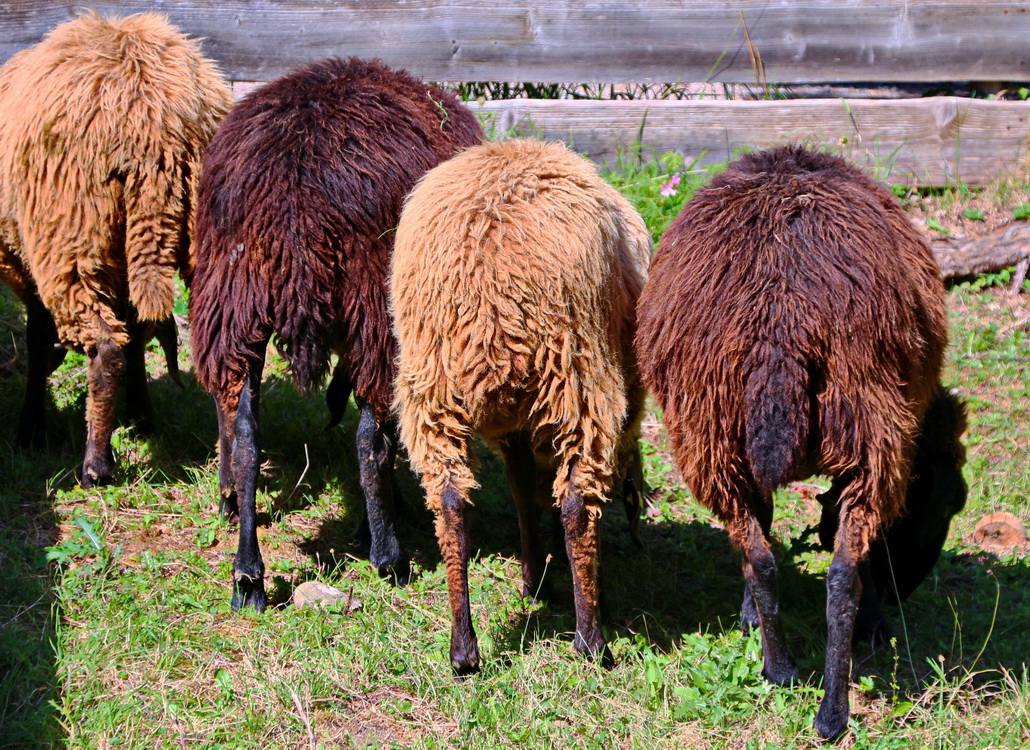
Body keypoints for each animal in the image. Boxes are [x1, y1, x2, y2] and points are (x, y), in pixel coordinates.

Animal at [0, 13, 233, 486]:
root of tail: (155, 131)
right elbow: (137, 334)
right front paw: (141, 416)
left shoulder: (31, 265)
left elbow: (38, 339)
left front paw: (31, 429)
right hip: (198, 233)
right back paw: (230, 479)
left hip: (72, 236)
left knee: (105, 347)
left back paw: (96, 466)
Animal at [189, 57, 482, 609]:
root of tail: (295, 199)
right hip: (374, 307)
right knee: (369, 439)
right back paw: (388, 557)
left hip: (234, 300)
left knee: (246, 437)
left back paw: (248, 573)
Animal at [389, 138, 646, 671]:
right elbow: (542, 494)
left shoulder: (513, 433)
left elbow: (524, 492)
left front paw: (534, 580)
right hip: (580, 374)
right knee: (576, 502)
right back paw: (592, 640)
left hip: (431, 389)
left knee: (450, 502)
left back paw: (463, 648)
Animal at [634, 145, 964, 737]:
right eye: (951, 503)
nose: (904, 592)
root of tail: (781, 328)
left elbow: (766, 522)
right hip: (863, 429)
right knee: (835, 569)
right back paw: (823, 698)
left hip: (713, 434)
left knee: (775, 559)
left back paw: (794, 680)